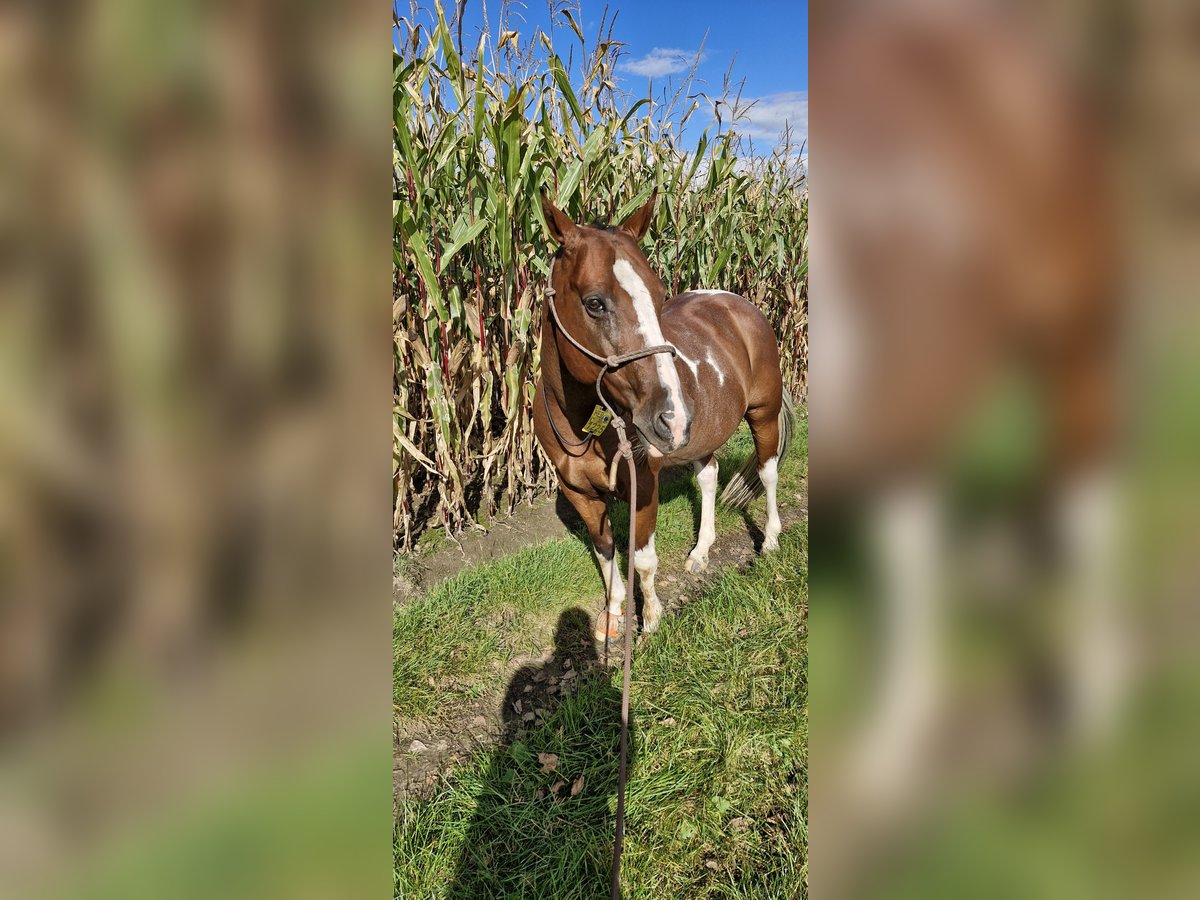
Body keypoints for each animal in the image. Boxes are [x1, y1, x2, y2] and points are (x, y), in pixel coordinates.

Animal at [535, 190, 796, 643]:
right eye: (594, 303)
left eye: (659, 298)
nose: (671, 418)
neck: (582, 427)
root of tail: (740, 304)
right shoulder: (579, 492)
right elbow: (606, 555)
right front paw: (613, 613)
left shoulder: (644, 484)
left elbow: (642, 560)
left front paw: (651, 621)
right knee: (708, 476)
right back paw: (701, 552)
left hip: (763, 414)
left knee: (768, 473)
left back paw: (770, 541)